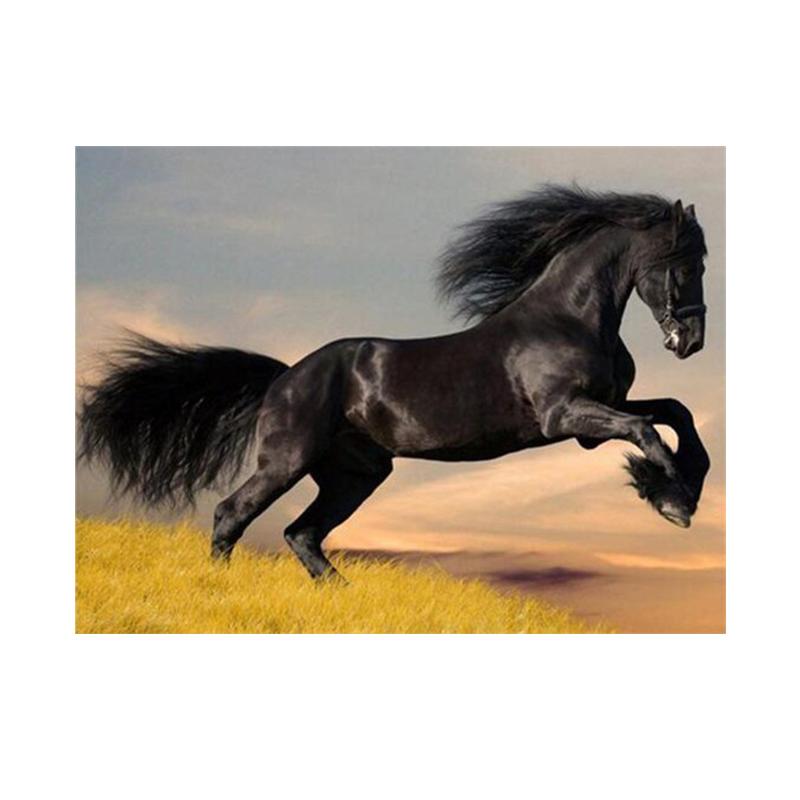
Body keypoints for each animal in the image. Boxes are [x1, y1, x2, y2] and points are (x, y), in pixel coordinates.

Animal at [78, 185, 711, 581]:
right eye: (686, 263)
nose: (692, 341)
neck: (568, 318)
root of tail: (286, 376)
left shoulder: (597, 414)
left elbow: (675, 412)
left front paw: (679, 488)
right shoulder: (566, 417)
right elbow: (646, 431)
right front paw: (671, 499)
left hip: (356, 474)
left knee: (302, 533)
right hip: (288, 460)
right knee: (232, 514)